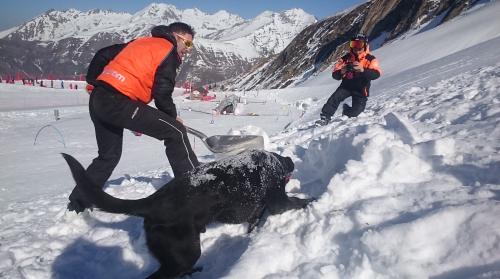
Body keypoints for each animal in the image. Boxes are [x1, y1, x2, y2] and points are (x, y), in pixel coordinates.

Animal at [62, 152, 310, 278]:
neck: (275, 162)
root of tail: (152, 203)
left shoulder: (258, 210)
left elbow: (255, 221)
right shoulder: (278, 200)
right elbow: (297, 201)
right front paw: (312, 200)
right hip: (186, 251)